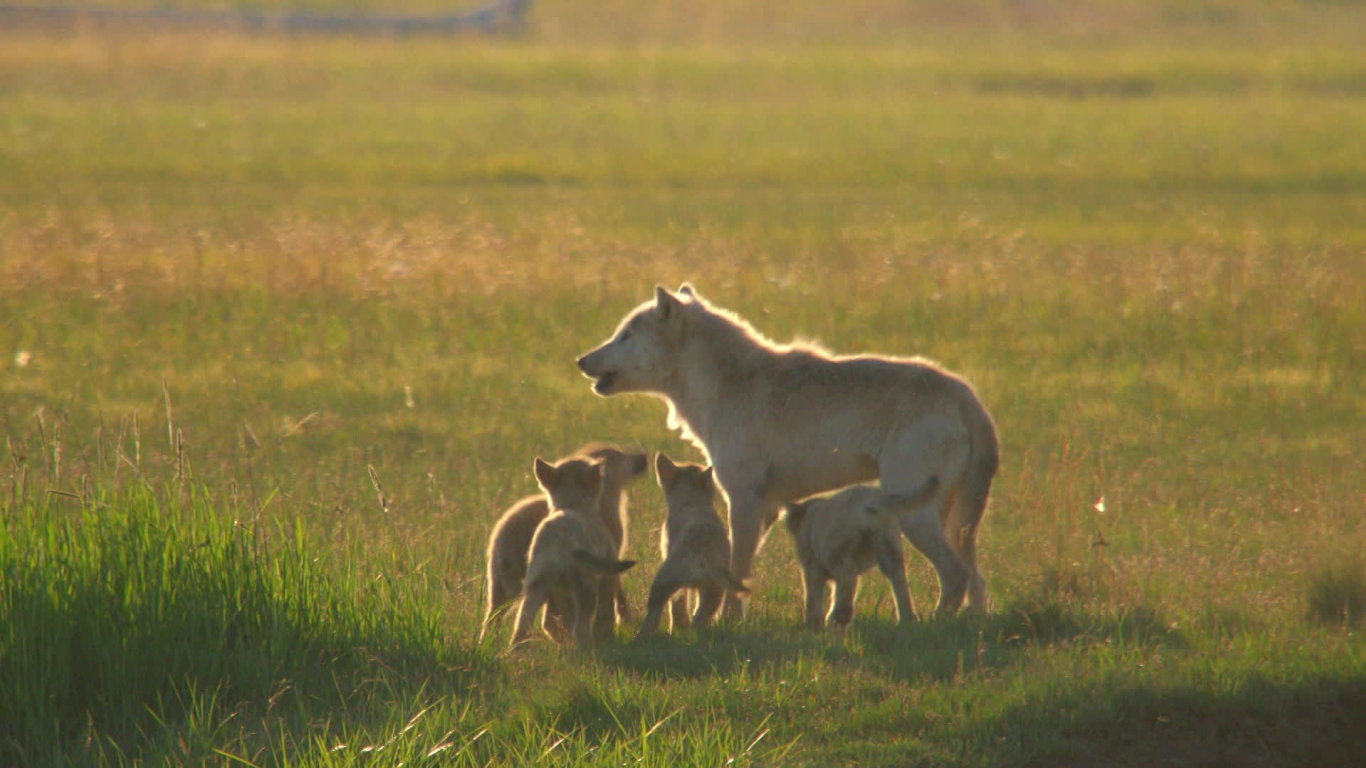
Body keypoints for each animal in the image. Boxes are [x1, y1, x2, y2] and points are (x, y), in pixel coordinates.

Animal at [570, 284, 999, 617]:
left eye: (625, 335)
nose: (580, 360)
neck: (723, 388)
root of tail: (968, 397)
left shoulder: (743, 501)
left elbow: (735, 575)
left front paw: (724, 626)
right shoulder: (768, 509)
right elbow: (739, 575)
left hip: (917, 519)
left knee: (957, 575)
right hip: (951, 522)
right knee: (974, 579)